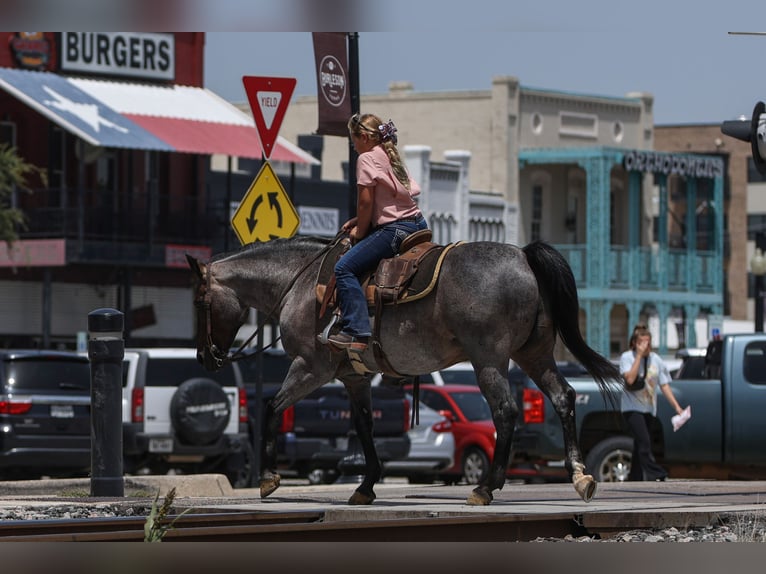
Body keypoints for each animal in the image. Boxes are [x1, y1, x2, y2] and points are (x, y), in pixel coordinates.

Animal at [188, 236, 624, 506]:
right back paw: (579, 475)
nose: (205, 357)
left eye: (198, 301)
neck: (302, 284)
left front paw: (268, 478)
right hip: (534, 355)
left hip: (488, 360)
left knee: (506, 411)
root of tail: (522, 257)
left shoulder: (310, 368)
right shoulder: (354, 377)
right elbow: (363, 427)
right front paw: (366, 486)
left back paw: (486, 487)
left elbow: (271, 409)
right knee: (563, 397)